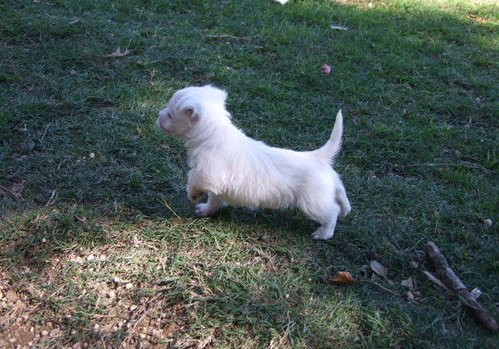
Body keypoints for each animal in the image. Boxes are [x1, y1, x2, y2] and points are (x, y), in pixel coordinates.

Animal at [157, 85, 352, 239]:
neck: (211, 134)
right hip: (327, 190)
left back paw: (323, 233)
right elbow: (214, 200)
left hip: (312, 203)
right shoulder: (218, 185)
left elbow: (194, 179)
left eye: (170, 114)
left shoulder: (207, 173)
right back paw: (346, 209)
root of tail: (318, 157)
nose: (158, 114)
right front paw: (206, 211)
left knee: (331, 212)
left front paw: (193, 195)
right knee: (341, 197)